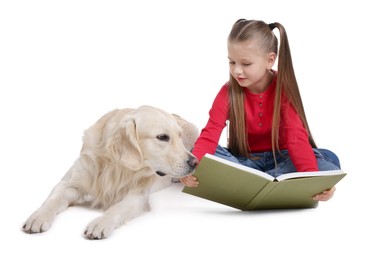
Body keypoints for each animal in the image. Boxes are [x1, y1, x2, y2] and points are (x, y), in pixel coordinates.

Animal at [21, 105, 198, 240]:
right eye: (162, 137)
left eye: (179, 136)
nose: (194, 162)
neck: (115, 166)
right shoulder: (68, 183)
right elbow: (53, 199)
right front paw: (38, 217)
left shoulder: (138, 195)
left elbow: (117, 208)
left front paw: (100, 223)